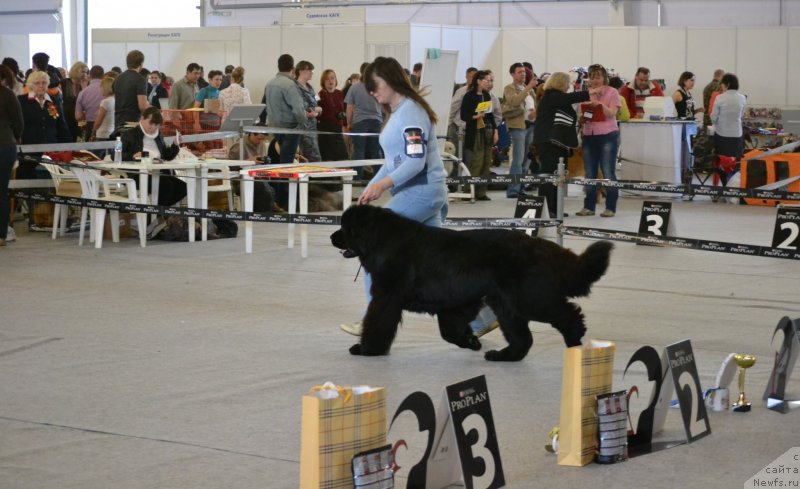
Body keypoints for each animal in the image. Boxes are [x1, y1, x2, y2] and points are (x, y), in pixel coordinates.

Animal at [330, 204, 612, 360]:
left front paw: (366, 349)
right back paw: (502, 356)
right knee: (523, 338)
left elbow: (377, 324)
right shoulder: (455, 303)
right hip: (506, 304)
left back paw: (574, 339)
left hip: (529, 298)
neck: (382, 239)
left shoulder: (386, 298)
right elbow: (450, 331)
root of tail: (542, 245)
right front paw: (471, 341)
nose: (333, 237)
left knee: (567, 313)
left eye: (345, 228)